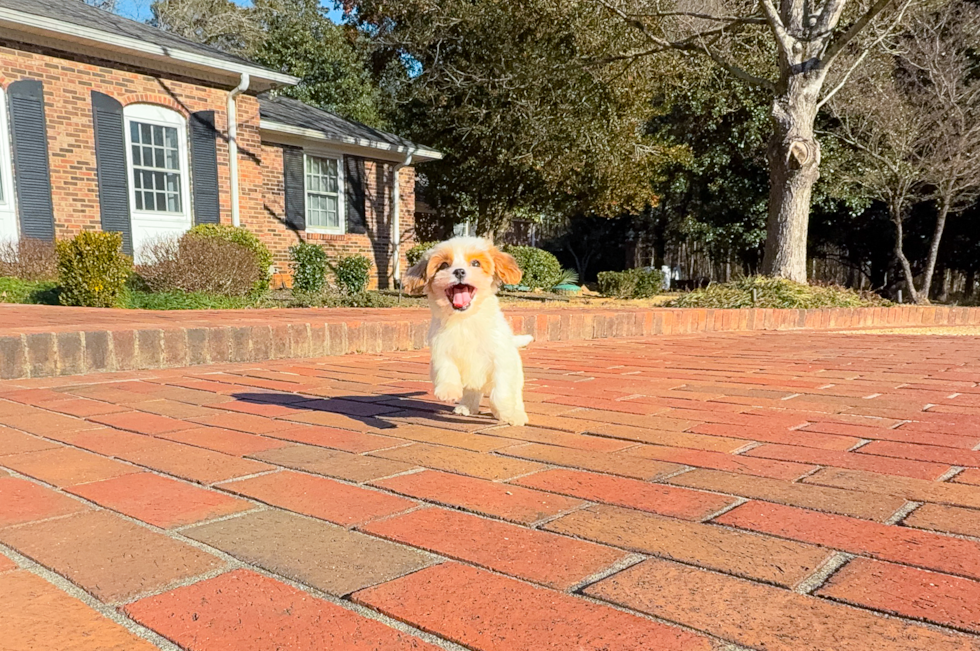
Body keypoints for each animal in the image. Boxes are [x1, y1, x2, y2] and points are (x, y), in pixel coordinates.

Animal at [404, 236, 532, 428]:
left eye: (476, 263)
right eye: (443, 265)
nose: (459, 271)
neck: (464, 319)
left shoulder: (501, 359)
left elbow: (501, 392)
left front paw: (507, 413)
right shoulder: (440, 348)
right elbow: (445, 367)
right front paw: (448, 390)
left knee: (514, 394)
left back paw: (515, 412)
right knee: (472, 391)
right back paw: (466, 406)